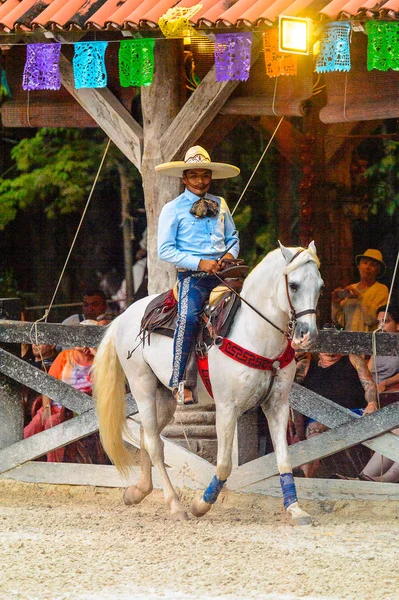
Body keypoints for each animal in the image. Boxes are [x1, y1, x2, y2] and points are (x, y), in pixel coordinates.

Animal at [94, 244, 324, 524]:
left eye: (320, 286)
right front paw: (200, 505)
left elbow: (284, 458)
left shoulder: (277, 405)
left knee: (147, 435)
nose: (307, 336)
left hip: (166, 397)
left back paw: (138, 491)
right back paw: (176, 506)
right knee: (155, 444)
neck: (254, 334)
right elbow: (224, 464)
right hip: (142, 386)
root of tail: (123, 316)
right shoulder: (226, 408)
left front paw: (295, 508)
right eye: (293, 285)